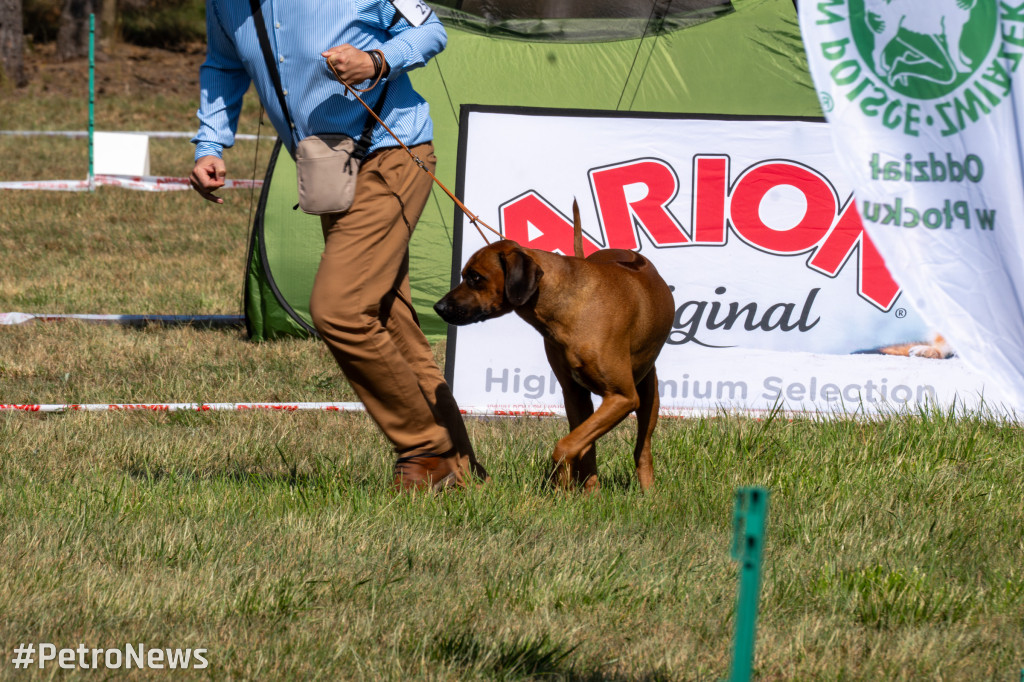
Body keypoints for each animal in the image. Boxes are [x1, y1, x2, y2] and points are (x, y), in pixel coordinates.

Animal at [436, 200, 675, 489]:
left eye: (475, 277)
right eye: (464, 275)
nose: (438, 307)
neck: (570, 306)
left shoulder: (621, 397)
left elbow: (566, 447)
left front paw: (561, 485)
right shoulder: (574, 395)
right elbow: (583, 448)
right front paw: (585, 492)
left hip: (648, 393)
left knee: (643, 448)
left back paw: (648, 492)